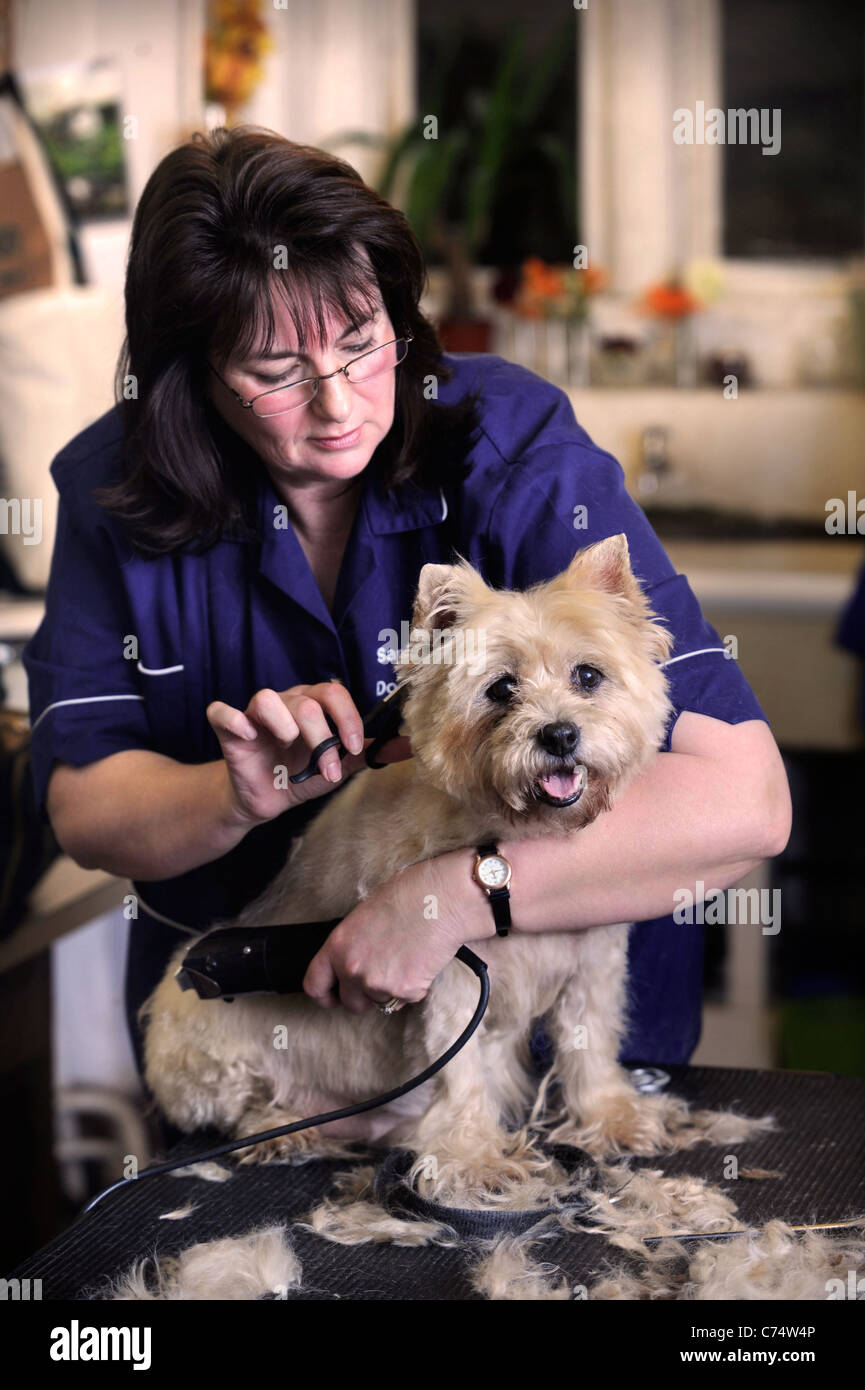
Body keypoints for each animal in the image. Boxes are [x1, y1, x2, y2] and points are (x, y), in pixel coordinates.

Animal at [142, 530, 773, 1206]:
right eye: (500, 689)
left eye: (588, 675)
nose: (559, 735)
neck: (522, 839)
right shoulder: (446, 978)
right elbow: (459, 1072)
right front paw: (474, 1161)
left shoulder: (592, 964)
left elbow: (590, 1043)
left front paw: (611, 1117)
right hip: (193, 1018)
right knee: (242, 1100)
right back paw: (283, 1127)